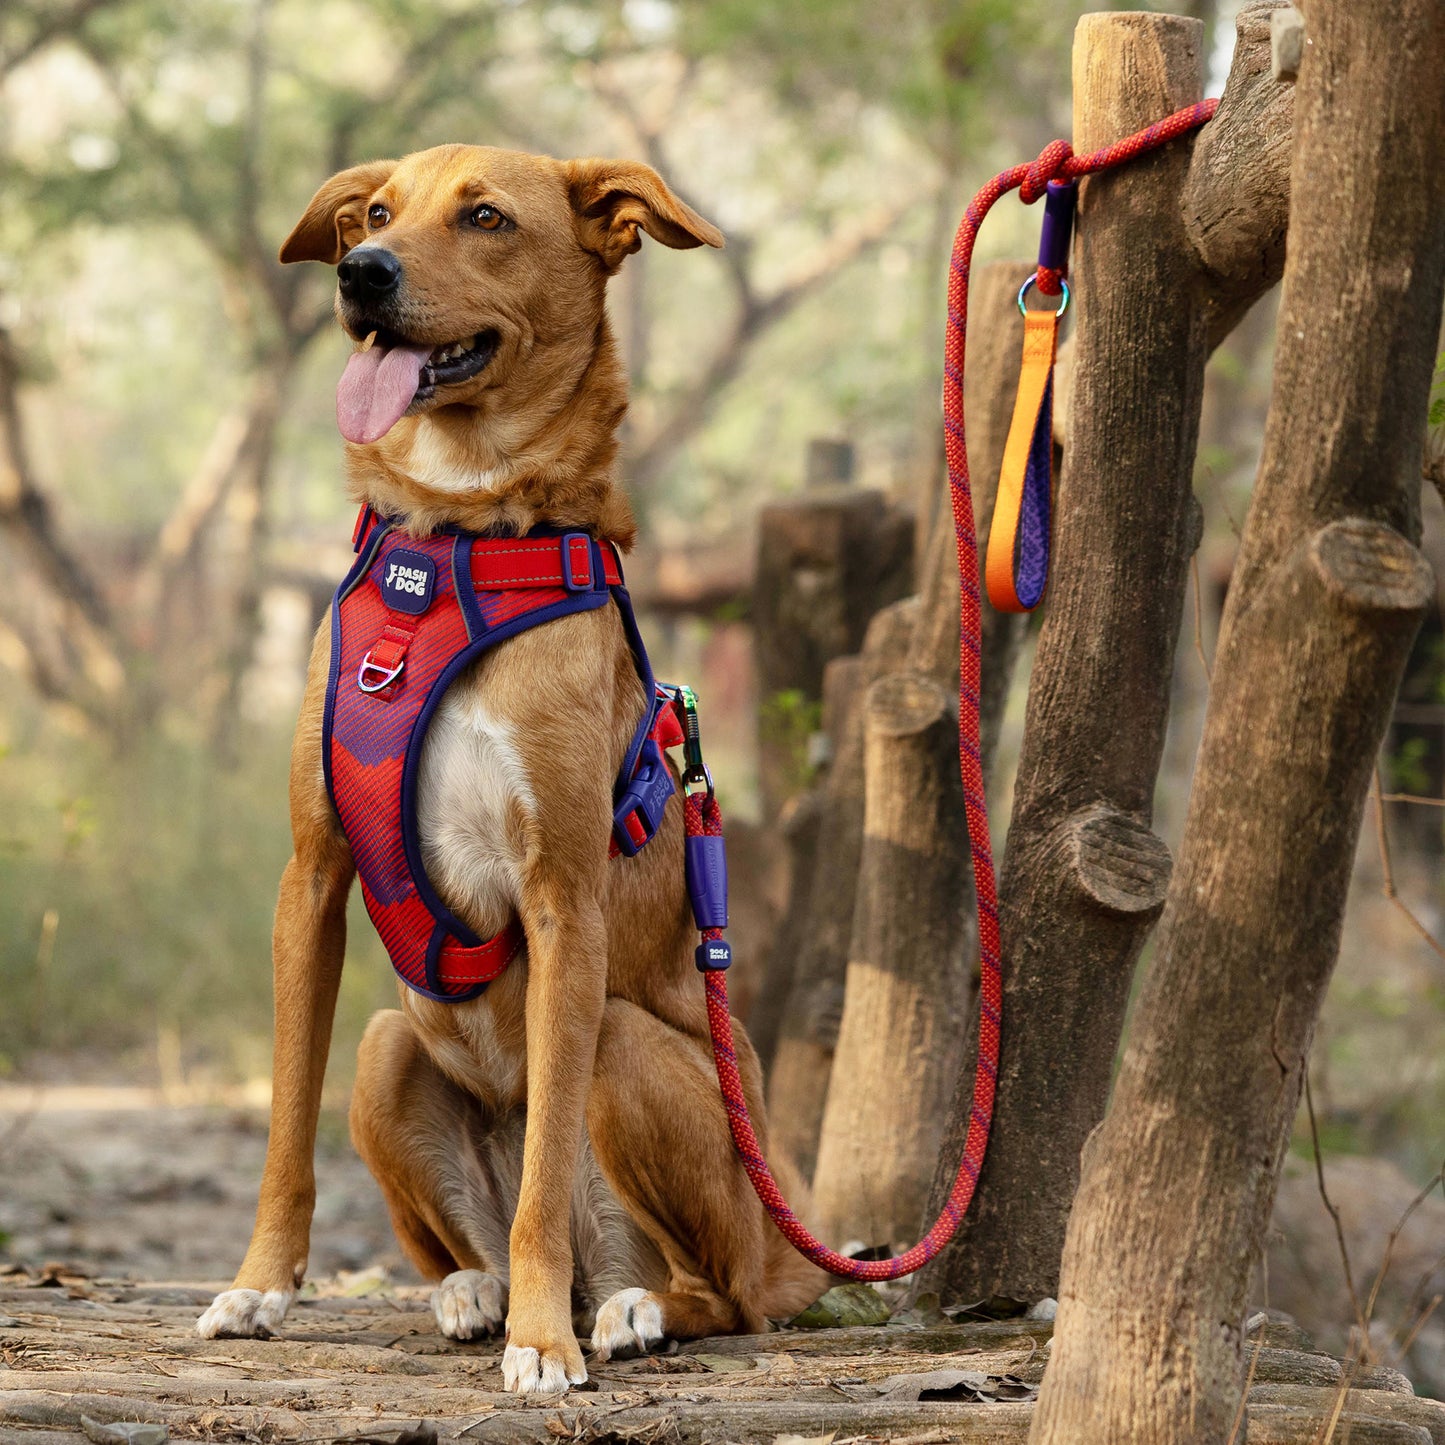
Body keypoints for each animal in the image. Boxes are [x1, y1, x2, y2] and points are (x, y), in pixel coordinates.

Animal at [195, 143, 826, 1387]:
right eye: (374, 212)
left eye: (484, 218)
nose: (359, 272)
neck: (455, 540)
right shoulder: (312, 876)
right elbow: (285, 1124)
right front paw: (259, 1285)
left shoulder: (562, 898)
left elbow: (541, 1179)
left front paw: (543, 1343)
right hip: (388, 1049)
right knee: (467, 1220)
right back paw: (473, 1288)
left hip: (632, 1058)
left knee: (705, 1288)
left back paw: (616, 1310)